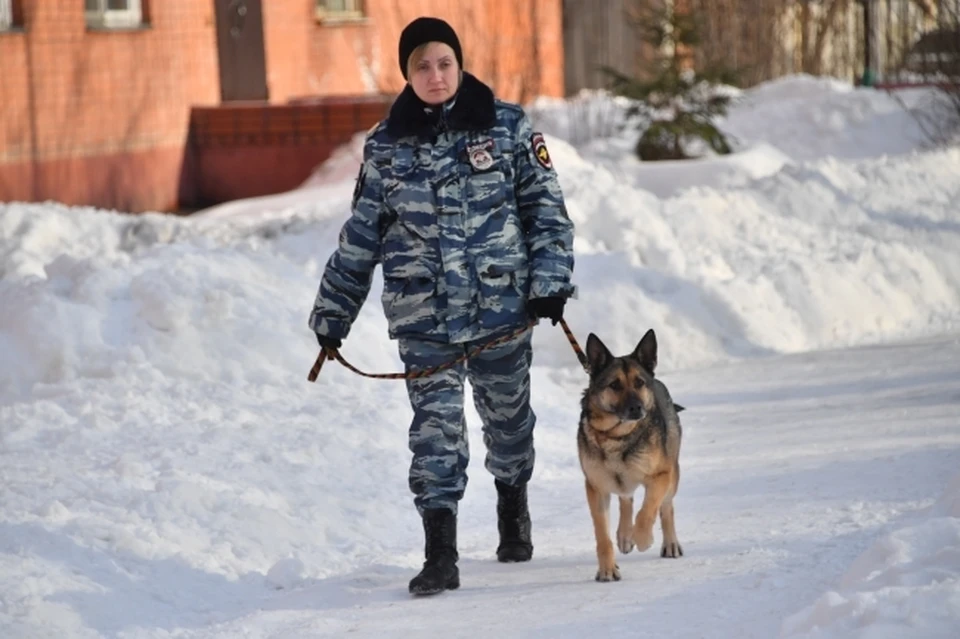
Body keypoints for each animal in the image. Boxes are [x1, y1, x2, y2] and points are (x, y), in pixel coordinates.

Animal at [576, 330, 684, 584]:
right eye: (614, 385)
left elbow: (648, 510)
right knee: (626, 498)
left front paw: (643, 538)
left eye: (639, 383)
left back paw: (669, 544)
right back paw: (625, 535)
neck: (617, 436)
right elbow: (602, 536)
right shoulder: (596, 488)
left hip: (673, 475)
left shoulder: (660, 475)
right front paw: (607, 569)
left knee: (666, 507)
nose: (636, 408)